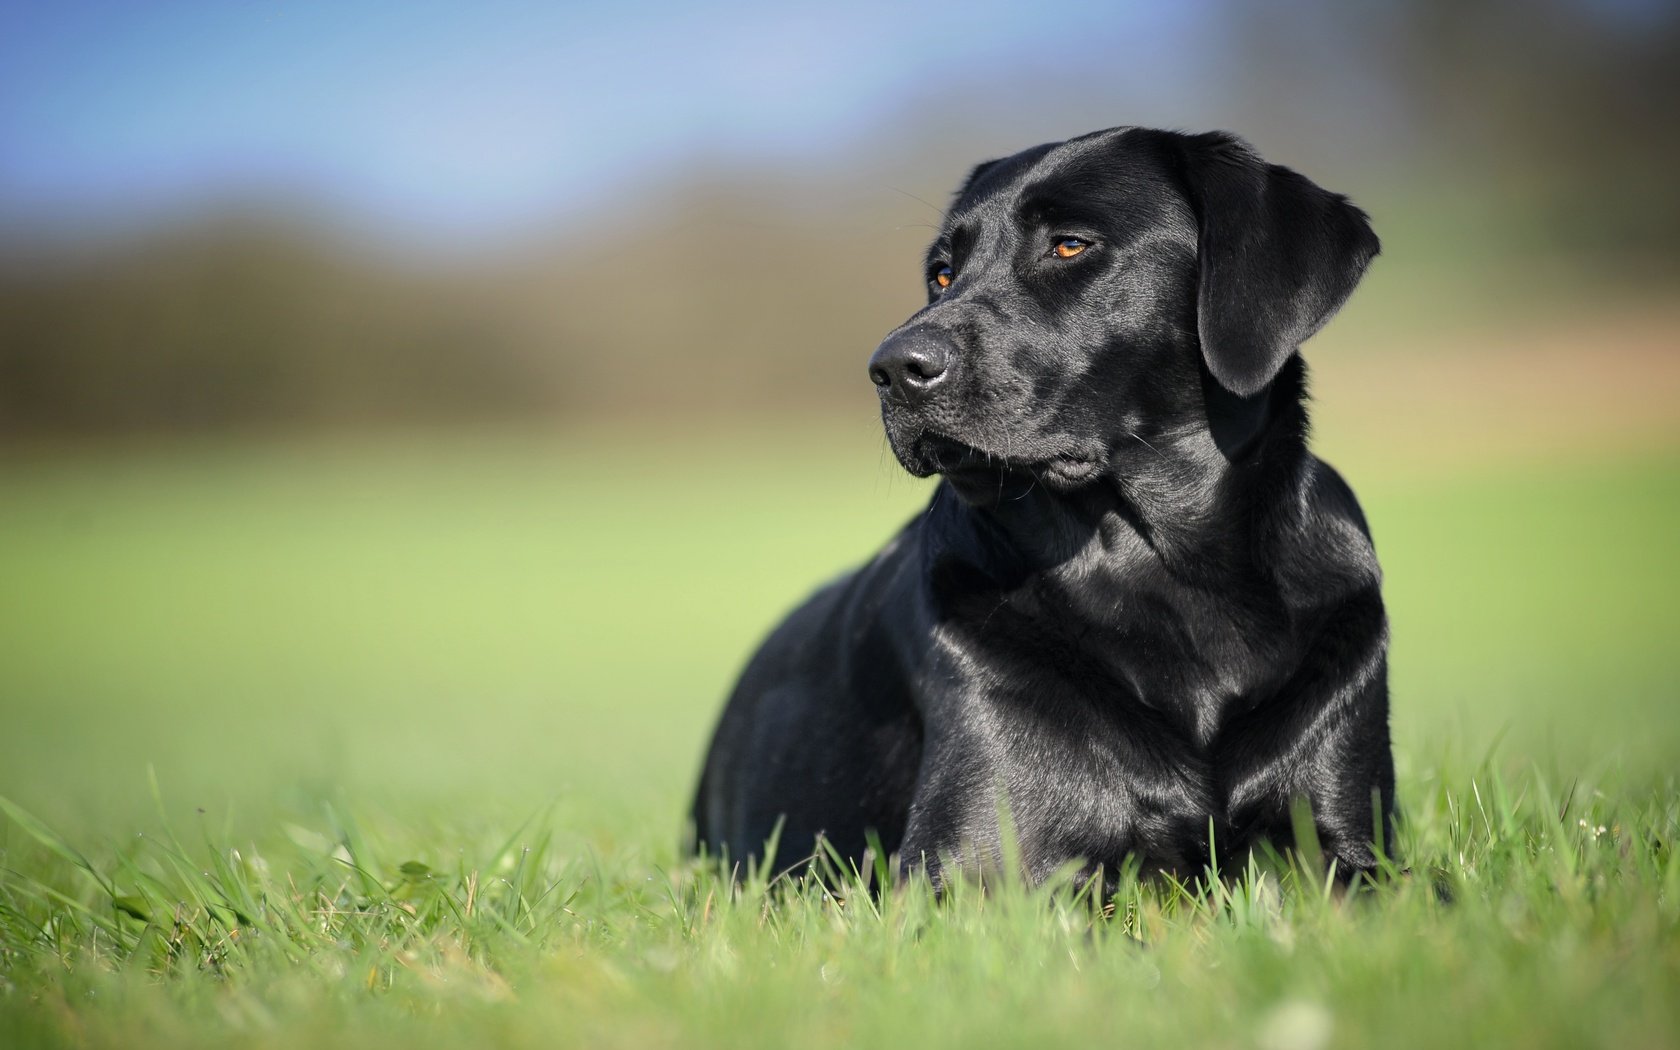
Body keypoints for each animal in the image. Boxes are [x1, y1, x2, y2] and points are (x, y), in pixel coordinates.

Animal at [692, 125, 1391, 887]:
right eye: (942, 273)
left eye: (1070, 245)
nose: (892, 368)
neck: (1167, 573)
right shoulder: (971, 873)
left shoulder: (1351, 845)